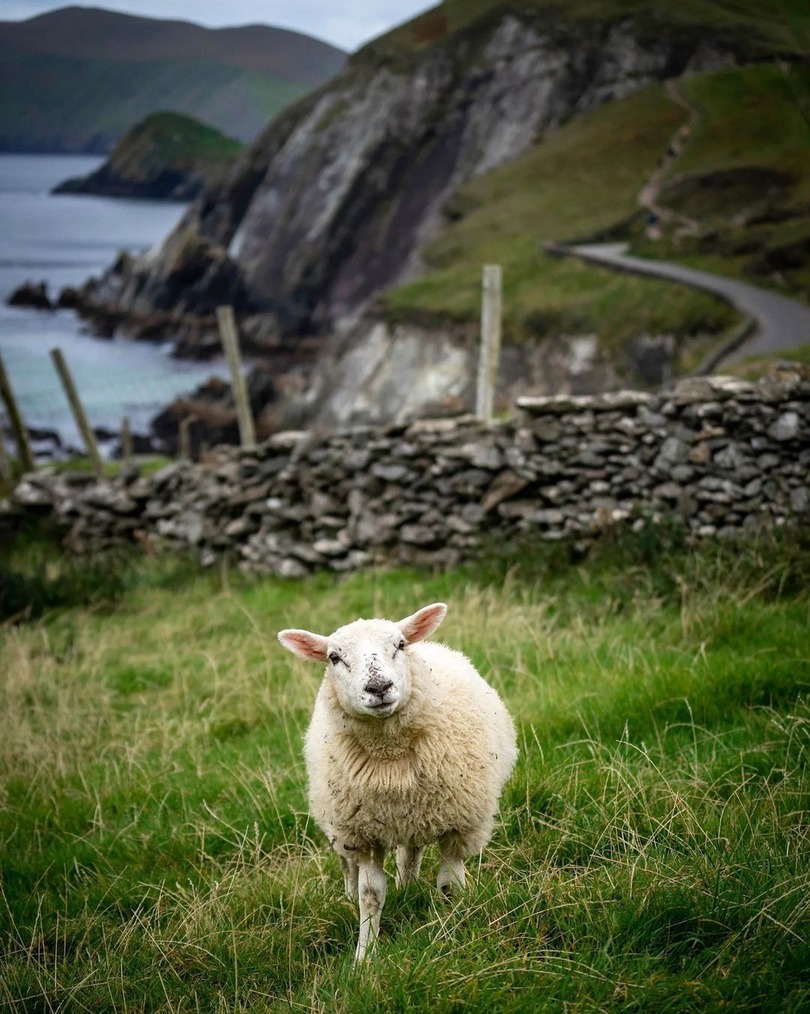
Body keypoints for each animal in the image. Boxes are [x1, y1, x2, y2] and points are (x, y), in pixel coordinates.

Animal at [279, 600, 519, 957]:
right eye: (334, 657)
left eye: (400, 645)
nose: (378, 688)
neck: (390, 758)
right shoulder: (362, 835)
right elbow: (370, 894)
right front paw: (365, 956)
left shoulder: (458, 825)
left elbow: (449, 884)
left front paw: (452, 932)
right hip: (342, 820)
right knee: (349, 865)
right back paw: (354, 892)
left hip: (418, 813)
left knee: (410, 854)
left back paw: (409, 885)